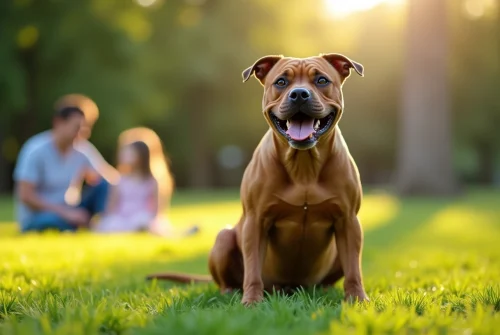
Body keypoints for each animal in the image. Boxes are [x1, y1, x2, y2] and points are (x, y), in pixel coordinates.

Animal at [147, 53, 368, 306]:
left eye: (322, 80)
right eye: (281, 82)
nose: (299, 94)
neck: (304, 168)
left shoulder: (348, 221)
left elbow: (354, 270)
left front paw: (358, 299)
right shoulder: (256, 221)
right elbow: (252, 269)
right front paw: (251, 301)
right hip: (224, 239)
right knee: (228, 278)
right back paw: (232, 292)